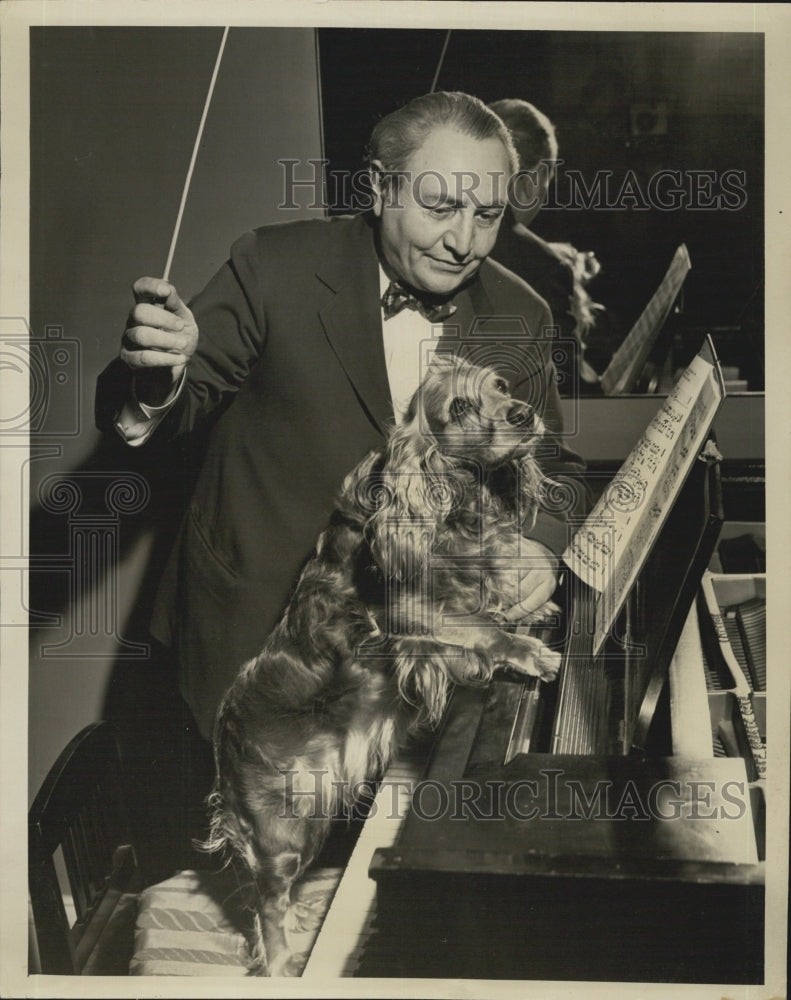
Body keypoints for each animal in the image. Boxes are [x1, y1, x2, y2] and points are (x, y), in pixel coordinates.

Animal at [207, 356, 560, 972]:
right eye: (460, 408)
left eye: (501, 387)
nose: (523, 414)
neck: (450, 502)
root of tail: (223, 737)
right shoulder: (404, 617)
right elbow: (478, 628)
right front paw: (527, 652)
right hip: (281, 826)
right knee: (267, 904)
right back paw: (282, 962)